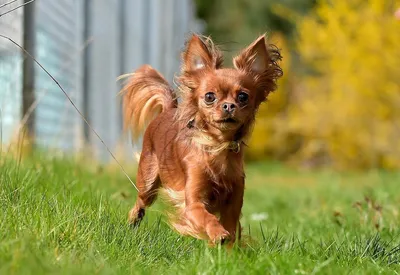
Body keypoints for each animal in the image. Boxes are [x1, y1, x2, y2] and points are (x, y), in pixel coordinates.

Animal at [122, 33, 282, 245]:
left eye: (243, 96)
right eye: (209, 96)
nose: (228, 106)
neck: (218, 146)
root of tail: (168, 110)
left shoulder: (233, 205)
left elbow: (232, 230)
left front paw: (228, 247)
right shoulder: (193, 204)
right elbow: (207, 217)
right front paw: (217, 233)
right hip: (148, 180)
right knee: (141, 200)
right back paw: (133, 219)